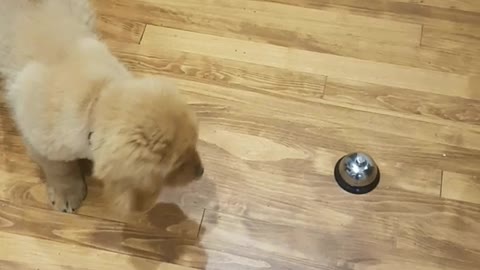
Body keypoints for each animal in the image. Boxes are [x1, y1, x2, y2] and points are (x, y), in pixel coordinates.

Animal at [0, 1, 202, 214]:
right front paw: (67, 193)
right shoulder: (38, 139)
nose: (201, 171)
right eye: (176, 164)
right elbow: (59, 168)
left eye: (194, 145)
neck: (93, 100)